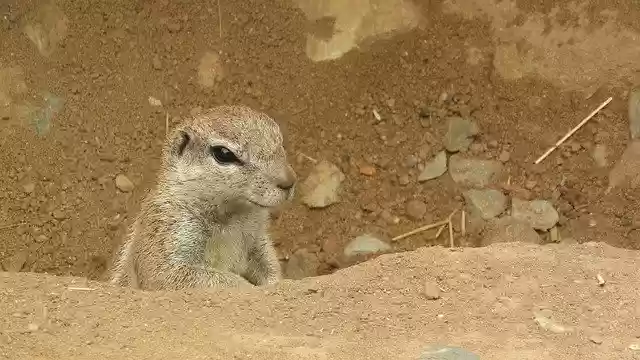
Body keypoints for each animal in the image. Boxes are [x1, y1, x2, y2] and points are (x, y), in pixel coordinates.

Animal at [110, 105, 298, 292]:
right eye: (223, 154)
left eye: (280, 139)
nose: (289, 182)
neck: (233, 216)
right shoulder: (166, 228)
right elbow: (164, 273)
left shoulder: (258, 239)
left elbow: (268, 262)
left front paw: (278, 282)